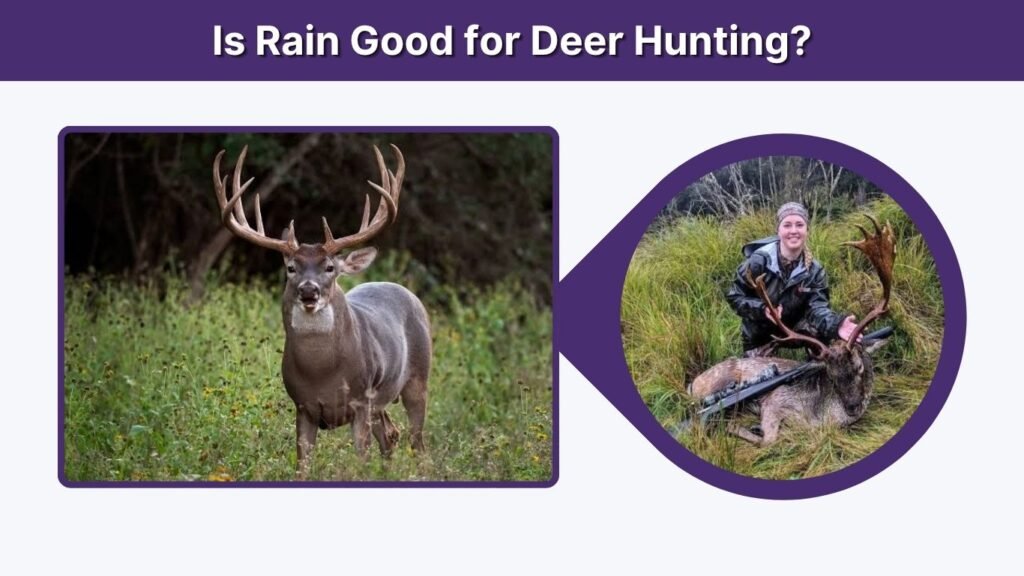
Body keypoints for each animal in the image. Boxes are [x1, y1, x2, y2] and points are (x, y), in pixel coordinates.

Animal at [213, 144, 431, 477]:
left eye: (330, 267)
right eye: (291, 267)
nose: (308, 291)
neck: (322, 371)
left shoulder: (360, 401)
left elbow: (361, 461)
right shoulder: (303, 406)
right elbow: (301, 466)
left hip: (418, 379)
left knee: (417, 441)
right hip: (380, 402)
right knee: (391, 435)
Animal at [688, 215, 896, 446]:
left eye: (859, 366)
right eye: (831, 376)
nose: (852, 408)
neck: (821, 415)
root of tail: (693, 384)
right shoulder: (775, 399)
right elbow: (768, 440)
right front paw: (751, 429)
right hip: (719, 383)